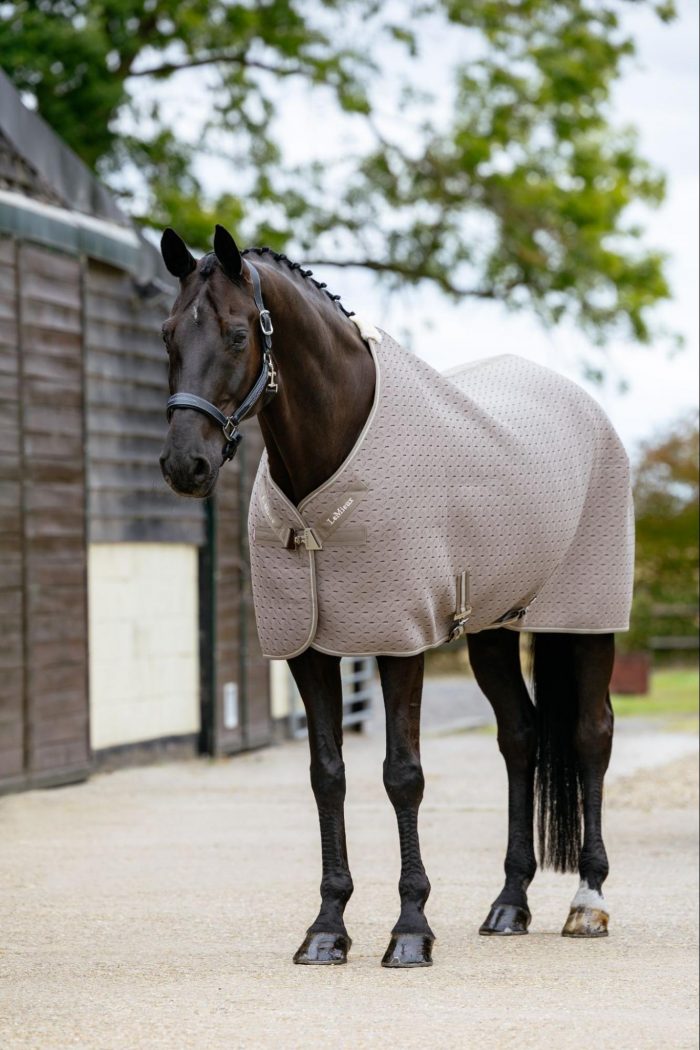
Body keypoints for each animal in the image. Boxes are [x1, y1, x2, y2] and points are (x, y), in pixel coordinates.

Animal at [158, 224, 632, 968]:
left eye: (237, 334)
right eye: (168, 333)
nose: (186, 464)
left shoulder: (398, 638)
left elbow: (401, 774)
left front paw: (410, 929)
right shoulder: (308, 648)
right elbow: (328, 775)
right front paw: (326, 928)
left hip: (585, 621)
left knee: (591, 735)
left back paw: (588, 901)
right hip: (492, 630)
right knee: (520, 738)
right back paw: (510, 903)